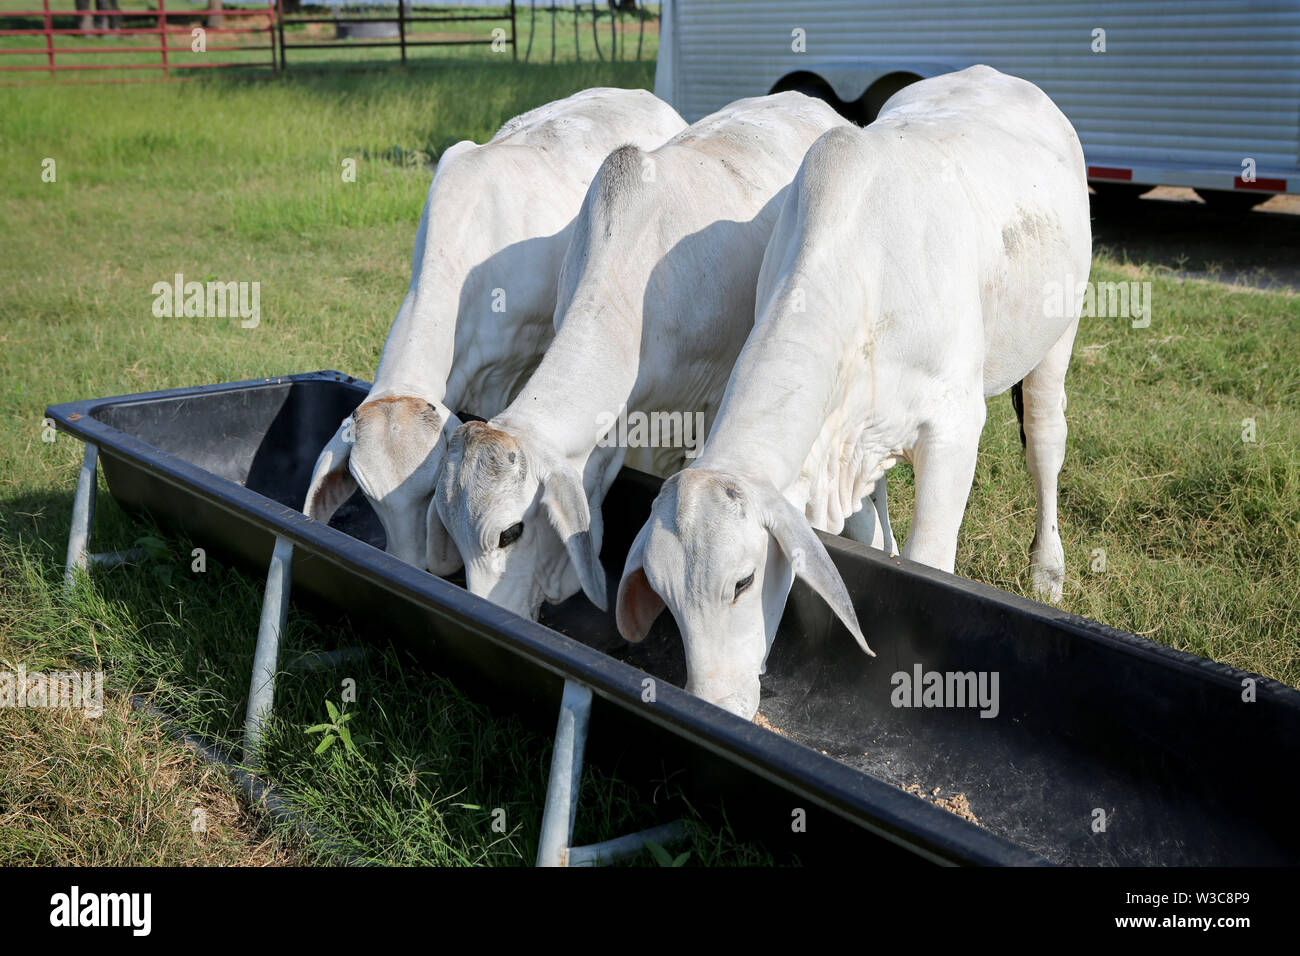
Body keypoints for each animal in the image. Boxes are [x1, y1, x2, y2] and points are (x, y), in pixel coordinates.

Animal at [613, 67, 1092, 723]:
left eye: (741, 582)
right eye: (662, 594)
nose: (715, 702)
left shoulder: (954, 428)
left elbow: (928, 560)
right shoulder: (846, 437)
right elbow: (861, 534)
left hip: (1056, 341)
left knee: (1045, 443)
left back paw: (1047, 571)